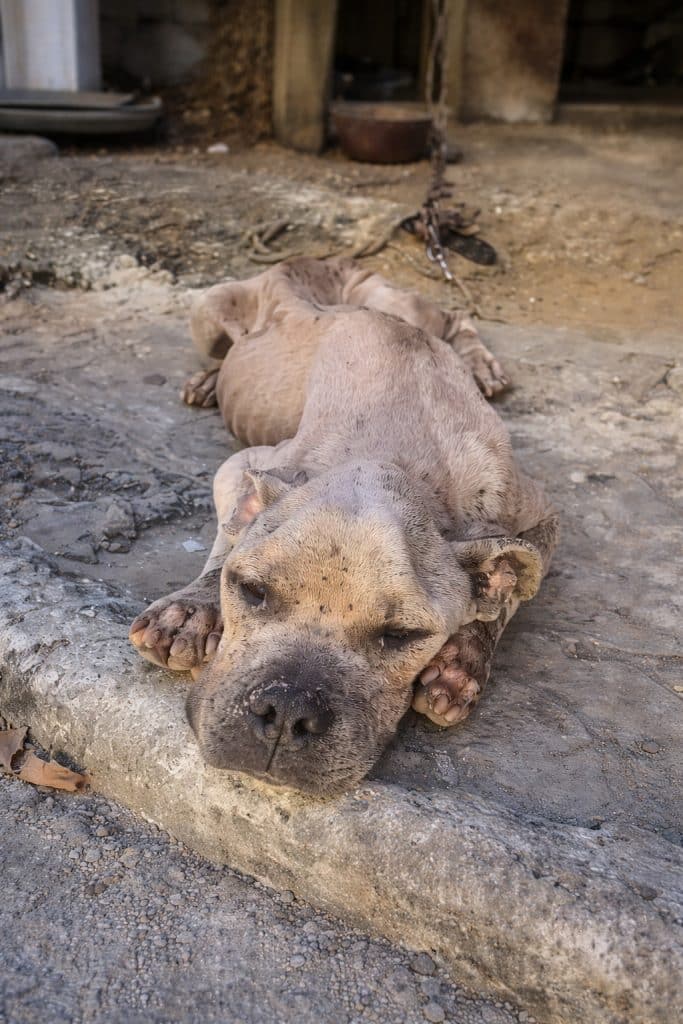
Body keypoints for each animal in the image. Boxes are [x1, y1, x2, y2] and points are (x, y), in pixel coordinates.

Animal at [129, 258, 558, 796]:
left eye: (402, 635)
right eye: (250, 591)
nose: (287, 711)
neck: (398, 456)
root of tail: (320, 265)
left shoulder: (540, 516)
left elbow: (508, 592)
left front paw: (461, 661)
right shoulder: (245, 465)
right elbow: (231, 535)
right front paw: (190, 609)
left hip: (403, 302)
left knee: (456, 317)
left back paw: (482, 366)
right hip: (209, 309)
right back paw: (208, 378)